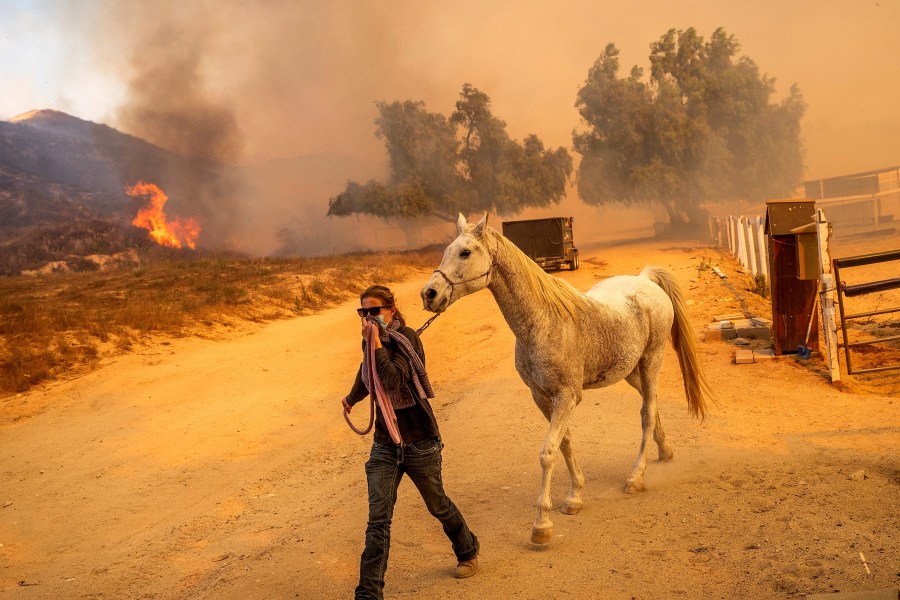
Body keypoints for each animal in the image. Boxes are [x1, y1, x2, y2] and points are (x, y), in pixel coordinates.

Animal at [420, 213, 712, 548]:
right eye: (447, 250)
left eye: (465, 252)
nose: (429, 294)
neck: (543, 322)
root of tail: (645, 280)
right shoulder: (542, 397)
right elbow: (566, 443)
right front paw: (574, 497)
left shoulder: (566, 397)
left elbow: (548, 452)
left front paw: (542, 525)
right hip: (630, 371)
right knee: (651, 406)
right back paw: (665, 452)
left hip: (652, 360)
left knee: (647, 414)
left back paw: (636, 478)